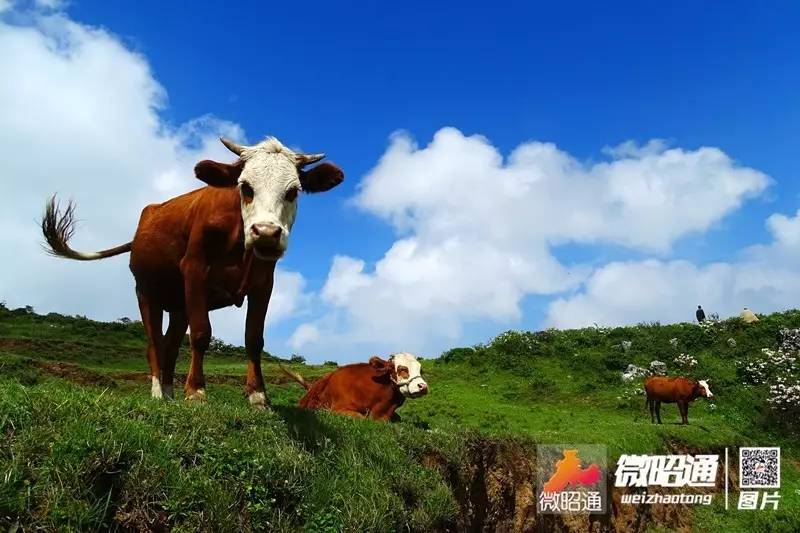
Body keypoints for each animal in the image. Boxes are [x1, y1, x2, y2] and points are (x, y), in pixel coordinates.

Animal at [43, 137, 344, 408]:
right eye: (245, 187)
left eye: (292, 192)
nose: (267, 233)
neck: (238, 241)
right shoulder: (195, 271)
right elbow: (201, 334)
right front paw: (196, 391)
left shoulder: (263, 283)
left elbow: (253, 338)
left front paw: (258, 395)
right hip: (146, 293)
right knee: (154, 344)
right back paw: (157, 392)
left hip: (179, 306)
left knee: (170, 345)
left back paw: (169, 393)